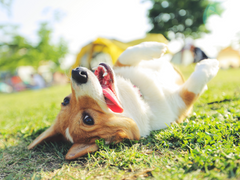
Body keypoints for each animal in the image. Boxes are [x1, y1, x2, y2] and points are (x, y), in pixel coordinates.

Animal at [28, 42, 219, 160]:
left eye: (65, 100)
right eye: (88, 119)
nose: (77, 73)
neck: (140, 95)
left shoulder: (121, 65)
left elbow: (126, 54)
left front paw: (156, 47)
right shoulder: (180, 103)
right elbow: (193, 87)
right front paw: (209, 65)